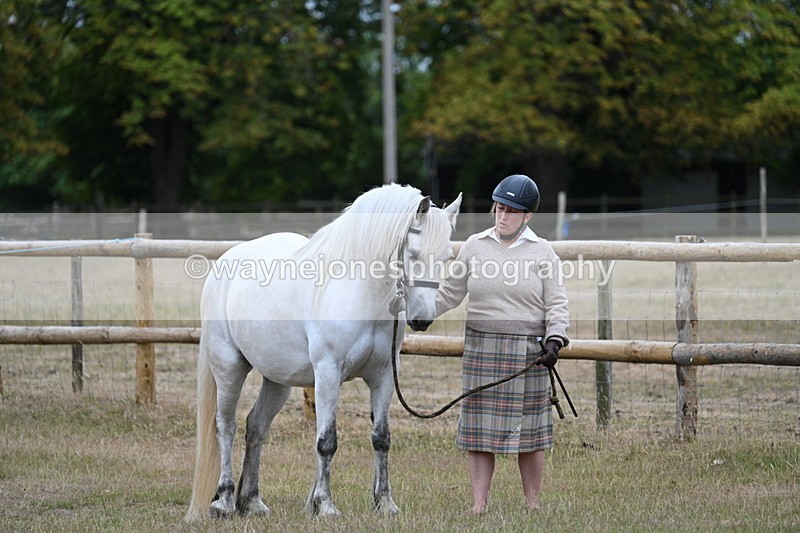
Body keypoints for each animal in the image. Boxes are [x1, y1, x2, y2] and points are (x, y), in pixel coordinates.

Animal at [186, 184, 462, 521]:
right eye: (413, 254)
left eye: (447, 257)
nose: (422, 320)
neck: (361, 293)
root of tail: (227, 260)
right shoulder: (328, 372)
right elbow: (326, 441)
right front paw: (326, 506)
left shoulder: (383, 376)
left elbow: (381, 439)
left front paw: (384, 504)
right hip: (229, 367)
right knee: (226, 426)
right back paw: (224, 501)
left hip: (277, 380)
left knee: (256, 426)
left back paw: (251, 502)